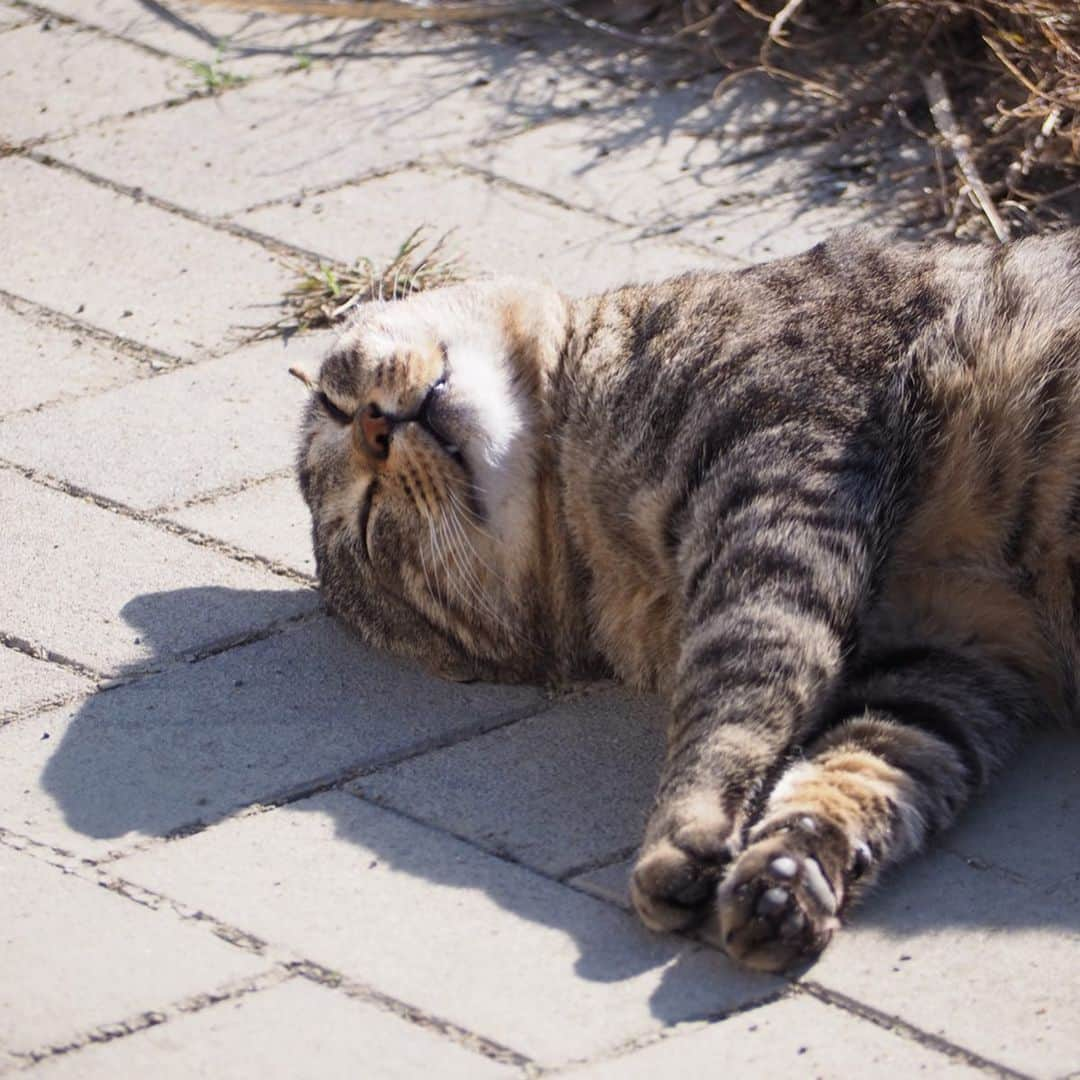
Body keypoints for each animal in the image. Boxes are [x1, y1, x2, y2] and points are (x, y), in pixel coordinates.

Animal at [295, 232, 1080, 976]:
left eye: (337, 399)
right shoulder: (946, 657)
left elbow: (733, 701)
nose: (374, 427)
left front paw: (682, 826)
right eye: (370, 525)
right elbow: (856, 770)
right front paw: (789, 874)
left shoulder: (778, 505)